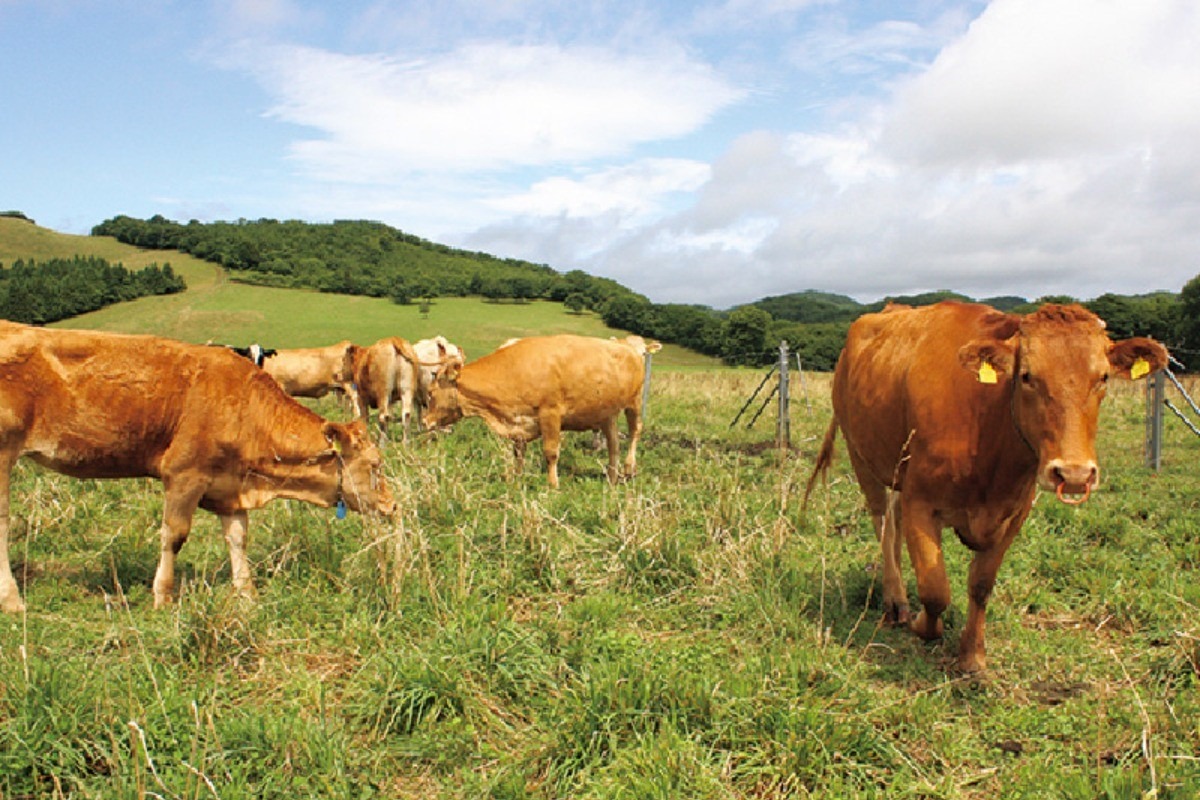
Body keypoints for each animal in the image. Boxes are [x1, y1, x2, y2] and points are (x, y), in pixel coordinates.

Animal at [0, 321, 398, 614]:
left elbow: (238, 538)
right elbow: (174, 535)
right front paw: (163, 596)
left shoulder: (231, 487)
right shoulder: (184, 475)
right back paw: (13, 601)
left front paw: (247, 594)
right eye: (375, 465)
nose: (392, 505)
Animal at [424, 333, 657, 489]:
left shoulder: (550, 414)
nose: (425, 422)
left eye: (431, 392)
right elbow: (518, 451)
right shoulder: (519, 421)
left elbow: (551, 452)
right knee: (613, 444)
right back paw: (612, 476)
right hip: (607, 412)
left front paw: (553, 485)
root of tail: (628, 348)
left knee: (635, 432)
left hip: (634, 402)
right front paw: (517, 478)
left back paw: (628, 468)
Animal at [801, 303, 1166, 671]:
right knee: (883, 523)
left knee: (894, 519)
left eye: (1103, 377)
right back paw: (896, 601)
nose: (1074, 474)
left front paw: (972, 656)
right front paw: (922, 625)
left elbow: (981, 584)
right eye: (1027, 376)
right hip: (859, 452)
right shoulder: (920, 501)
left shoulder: (1015, 513)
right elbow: (935, 589)